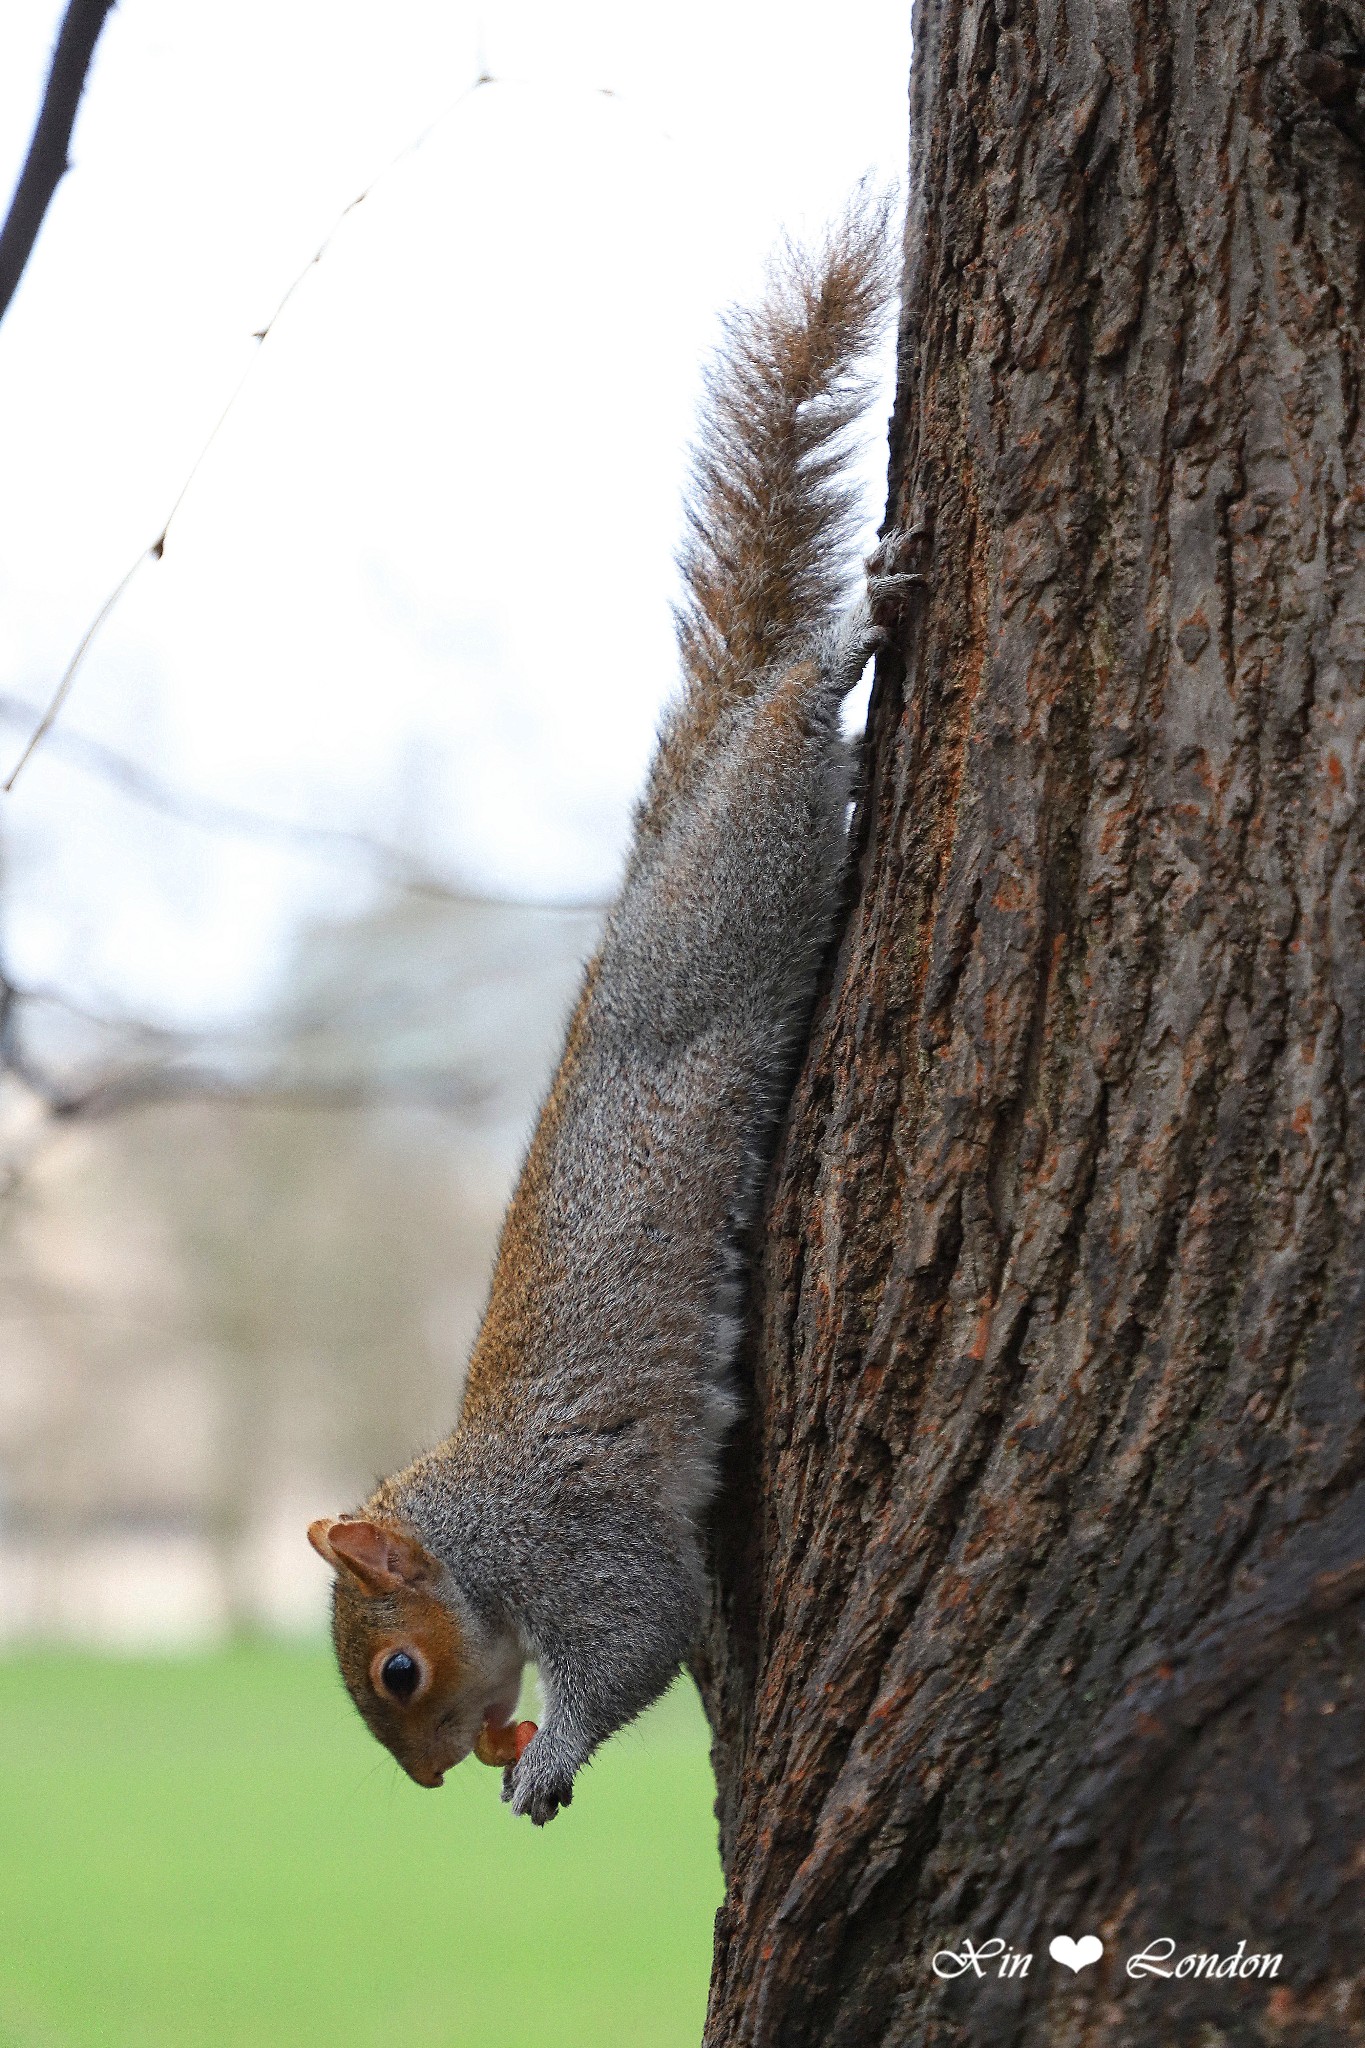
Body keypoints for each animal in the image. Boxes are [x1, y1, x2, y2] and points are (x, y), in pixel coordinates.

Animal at [304, 192, 912, 1826]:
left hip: (735, 896)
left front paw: (554, 1753)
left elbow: (641, 1628)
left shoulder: (581, 1537)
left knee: (784, 733)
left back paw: (838, 645)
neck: (476, 1516)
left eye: (397, 1671)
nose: (434, 1779)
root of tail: (641, 891)